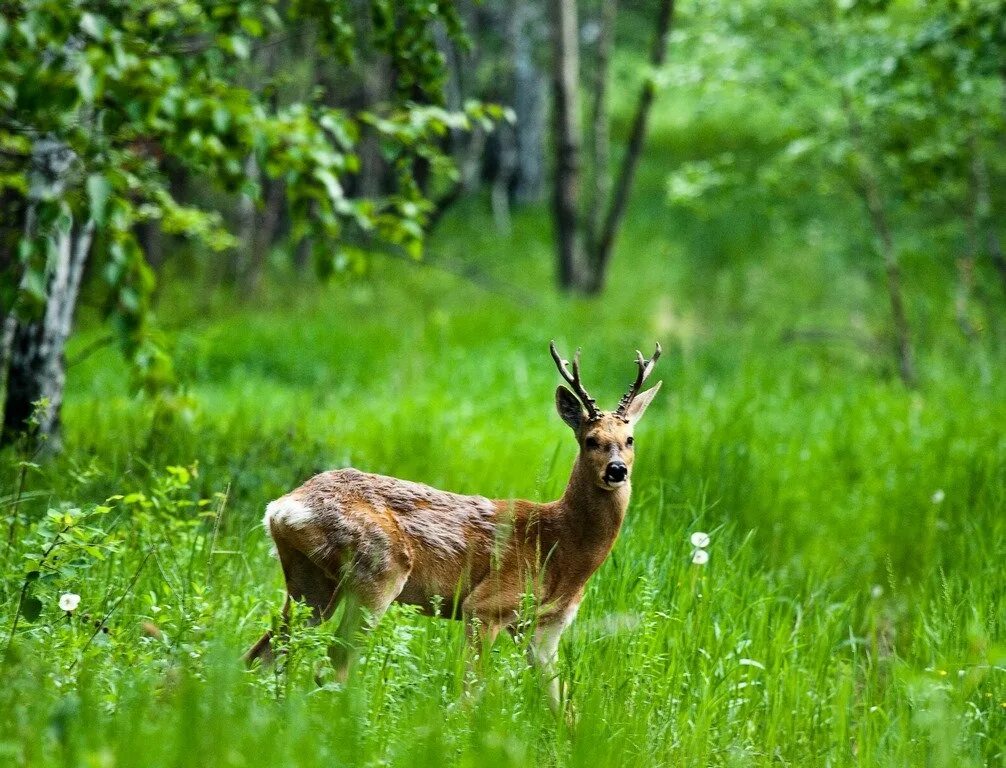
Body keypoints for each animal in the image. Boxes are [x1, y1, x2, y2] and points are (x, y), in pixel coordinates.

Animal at [245, 340, 659, 712]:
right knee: (331, 665)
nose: (616, 470)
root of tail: (281, 508)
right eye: (590, 440)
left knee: (262, 653)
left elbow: (564, 708)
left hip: (312, 584)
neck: (561, 545)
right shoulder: (485, 607)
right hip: (378, 571)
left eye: (630, 439)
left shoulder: (545, 627)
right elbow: (469, 694)